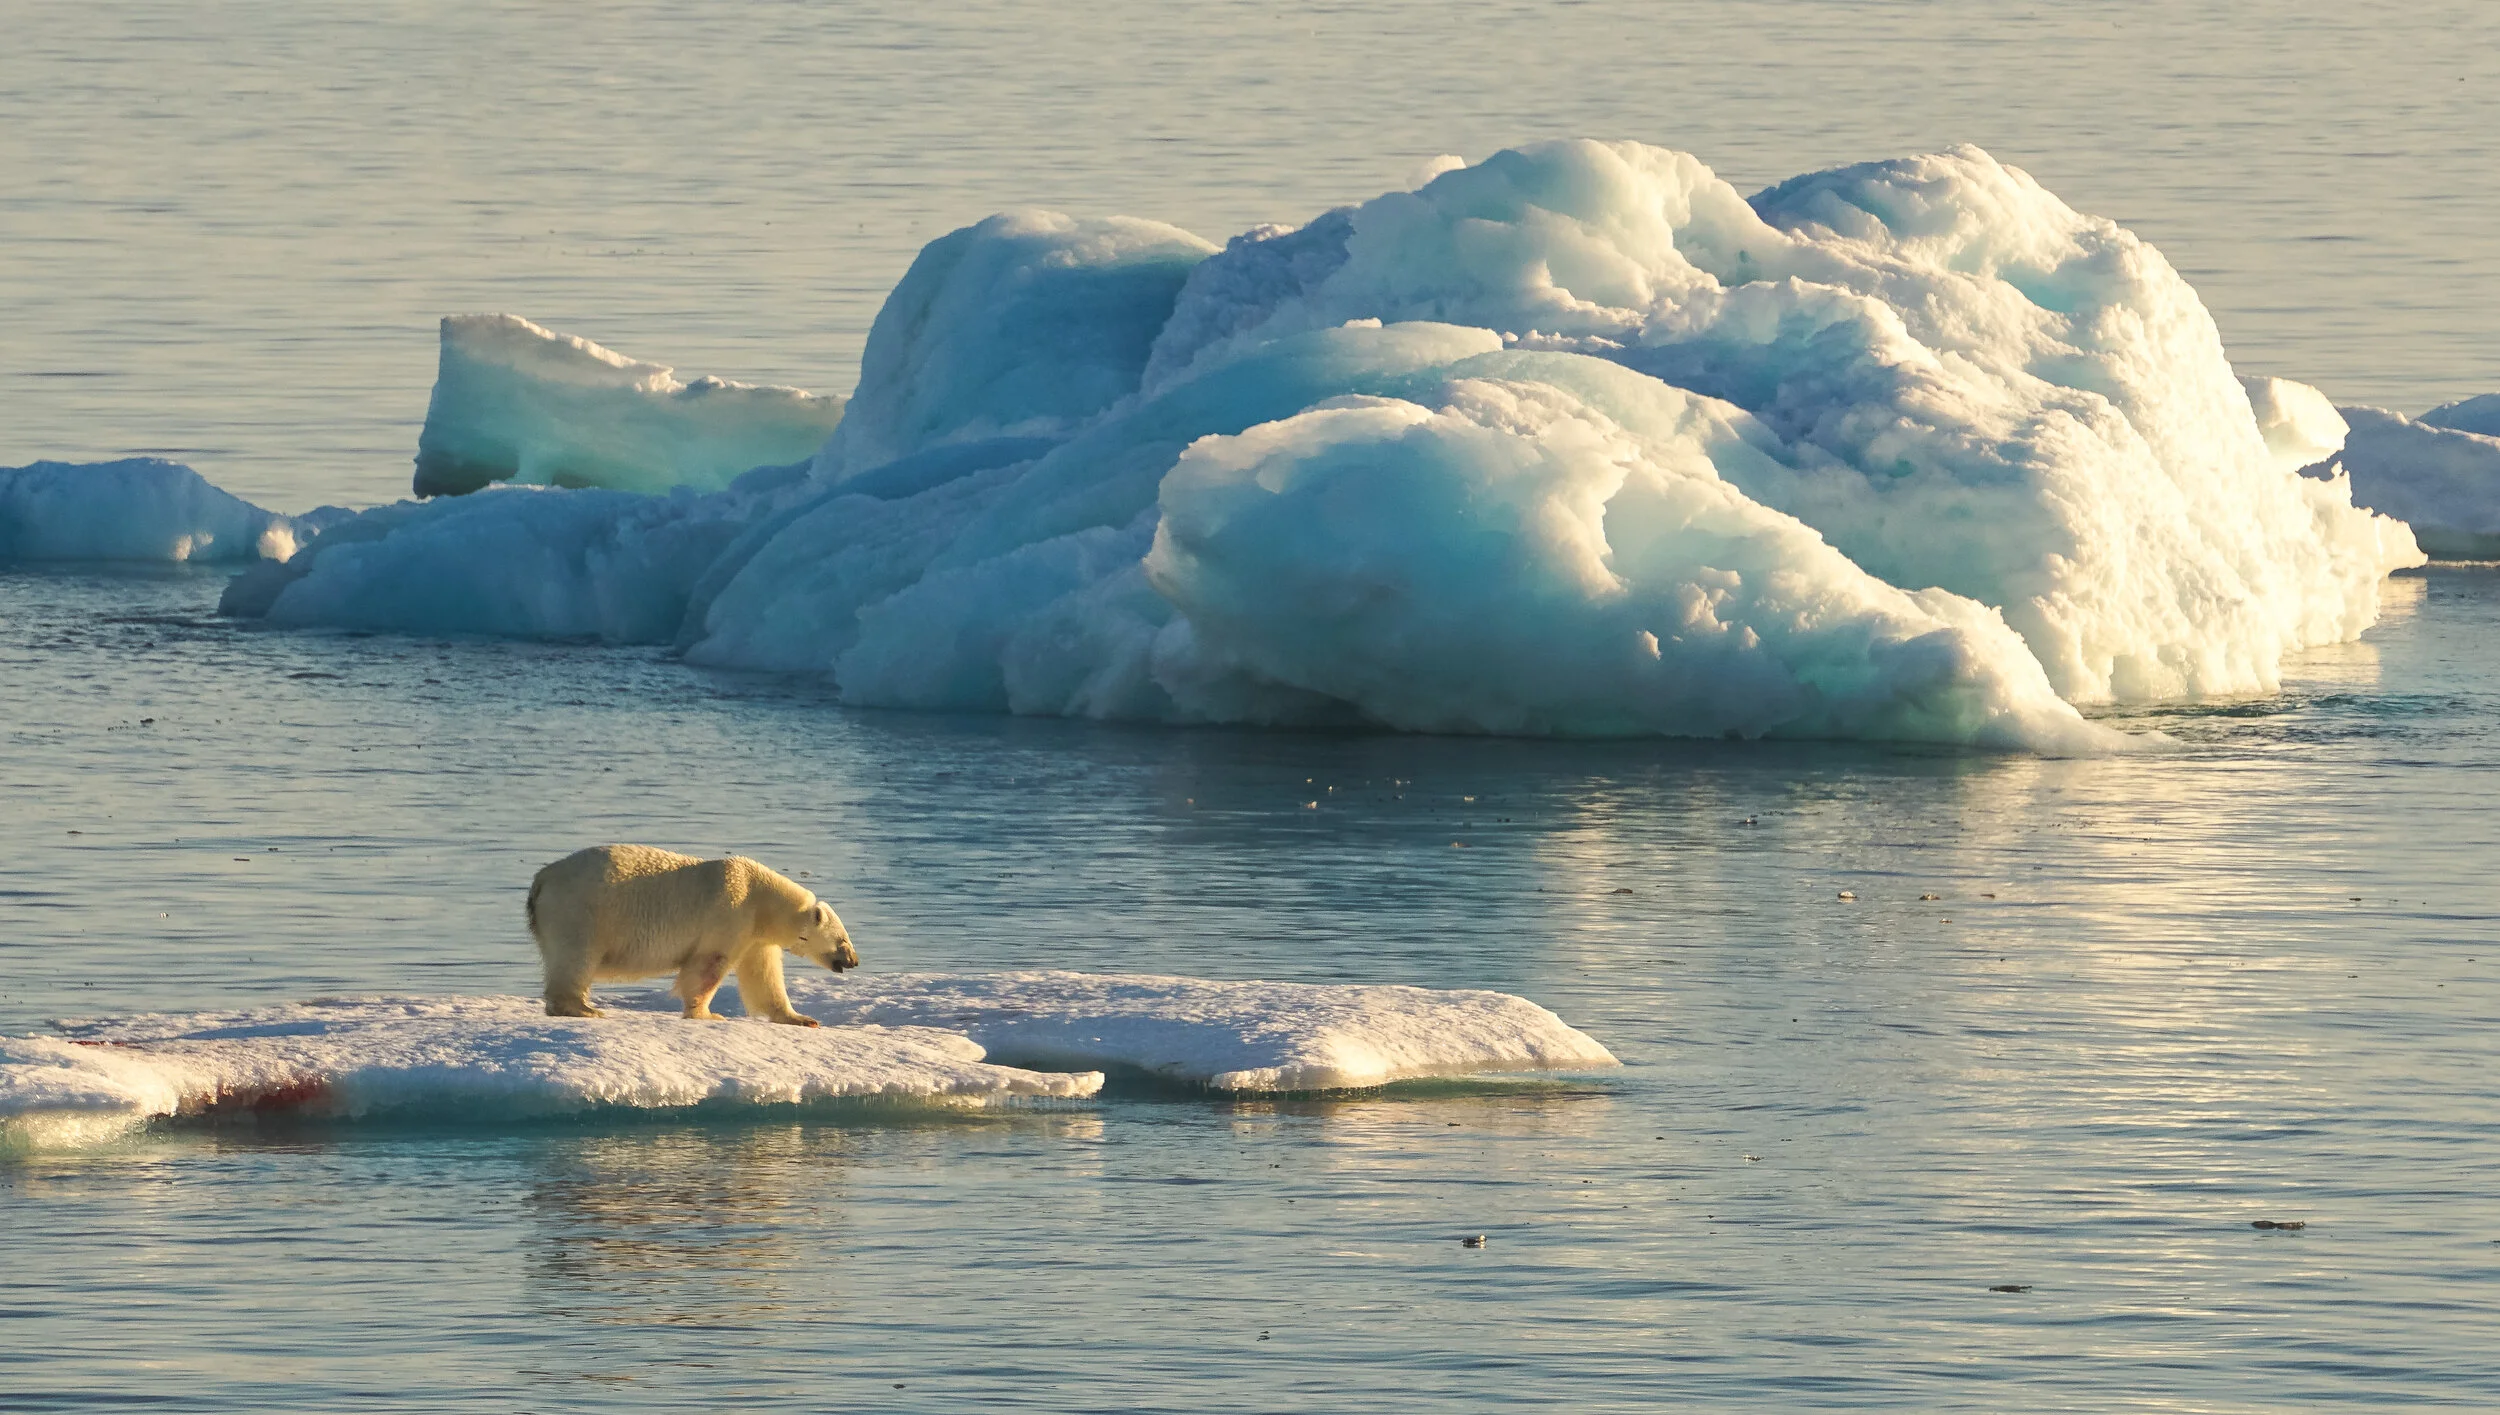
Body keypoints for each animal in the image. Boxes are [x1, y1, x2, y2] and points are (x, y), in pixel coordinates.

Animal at [525, 844, 858, 1025]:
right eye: (843, 940)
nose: (854, 960)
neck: (762, 895)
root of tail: (541, 879)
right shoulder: (731, 911)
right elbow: (708, 964)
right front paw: (706, 1014)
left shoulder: (755, 934)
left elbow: (763, 976)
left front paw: (802, 1018)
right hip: (580, 910)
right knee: (576, 956)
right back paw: (582, 1008)